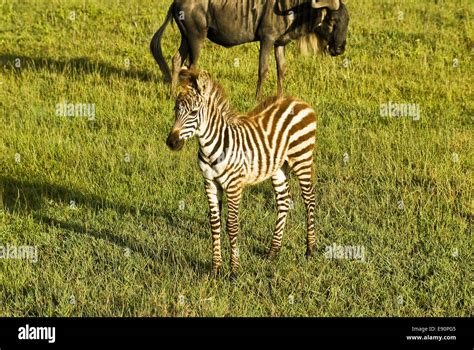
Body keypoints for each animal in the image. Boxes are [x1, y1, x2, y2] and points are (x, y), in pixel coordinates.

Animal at [165, 69, 316, 276]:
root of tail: (298, 100)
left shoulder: (234, 185)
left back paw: (310, 249)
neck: (211, 148)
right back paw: (273, 251)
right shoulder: (210, 183)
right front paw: (215, 268)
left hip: (302, 159)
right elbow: (215, 223)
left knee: (309, 200)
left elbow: (232, 225)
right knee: (284, 201)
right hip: (278, 166)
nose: (171, 143)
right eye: (175, 110)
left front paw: (234, 270)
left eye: (194, 112)